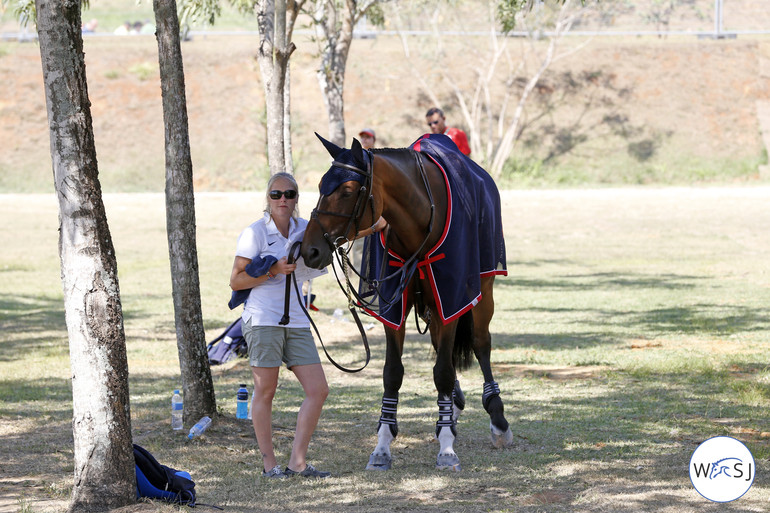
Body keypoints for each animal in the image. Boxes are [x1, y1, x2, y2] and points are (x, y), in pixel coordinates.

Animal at [300, 134, 510, 470]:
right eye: (321, 185)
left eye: (347, 191)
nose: (310, 250)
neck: (420, 217)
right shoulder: (395, 306)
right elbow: (393, 373)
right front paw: (383, 445)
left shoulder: (451, 299)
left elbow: (443, 372)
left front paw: (446, 448)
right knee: (441, 347)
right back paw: (452, 408)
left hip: (482, 289)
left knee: (480, 343)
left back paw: (497, 418)